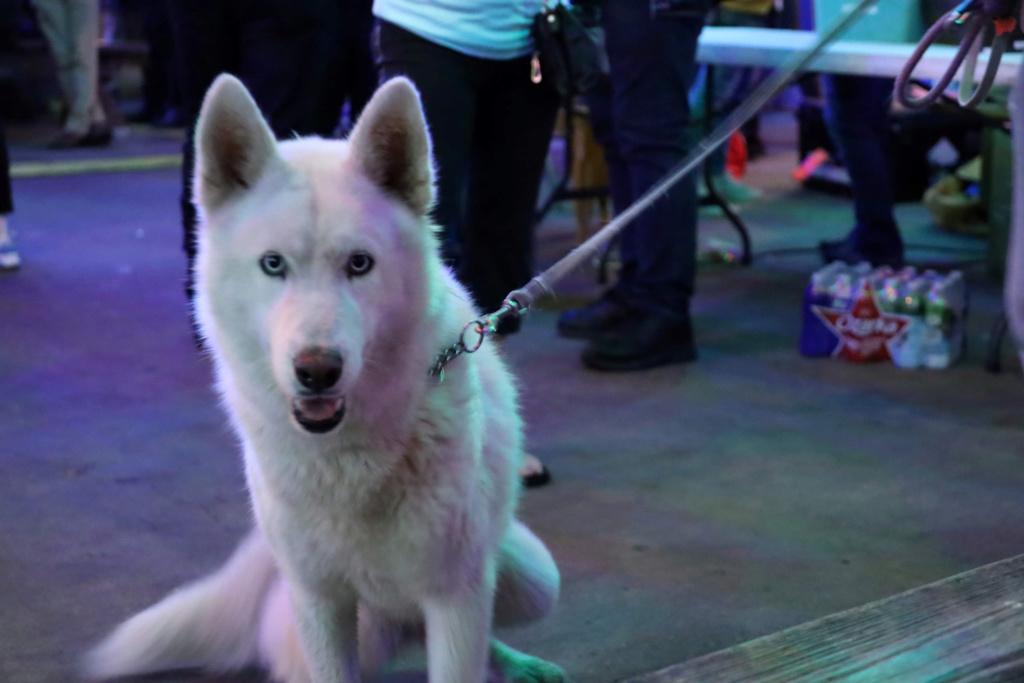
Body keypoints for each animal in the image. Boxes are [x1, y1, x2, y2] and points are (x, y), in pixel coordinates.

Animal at [86, 76, 569, 683]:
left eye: (359, 264)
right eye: (273, 264)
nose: (317, 370)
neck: (348, 459)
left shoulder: (456, 596)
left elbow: (462, 656)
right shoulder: (319, 601)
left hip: (532, 576)